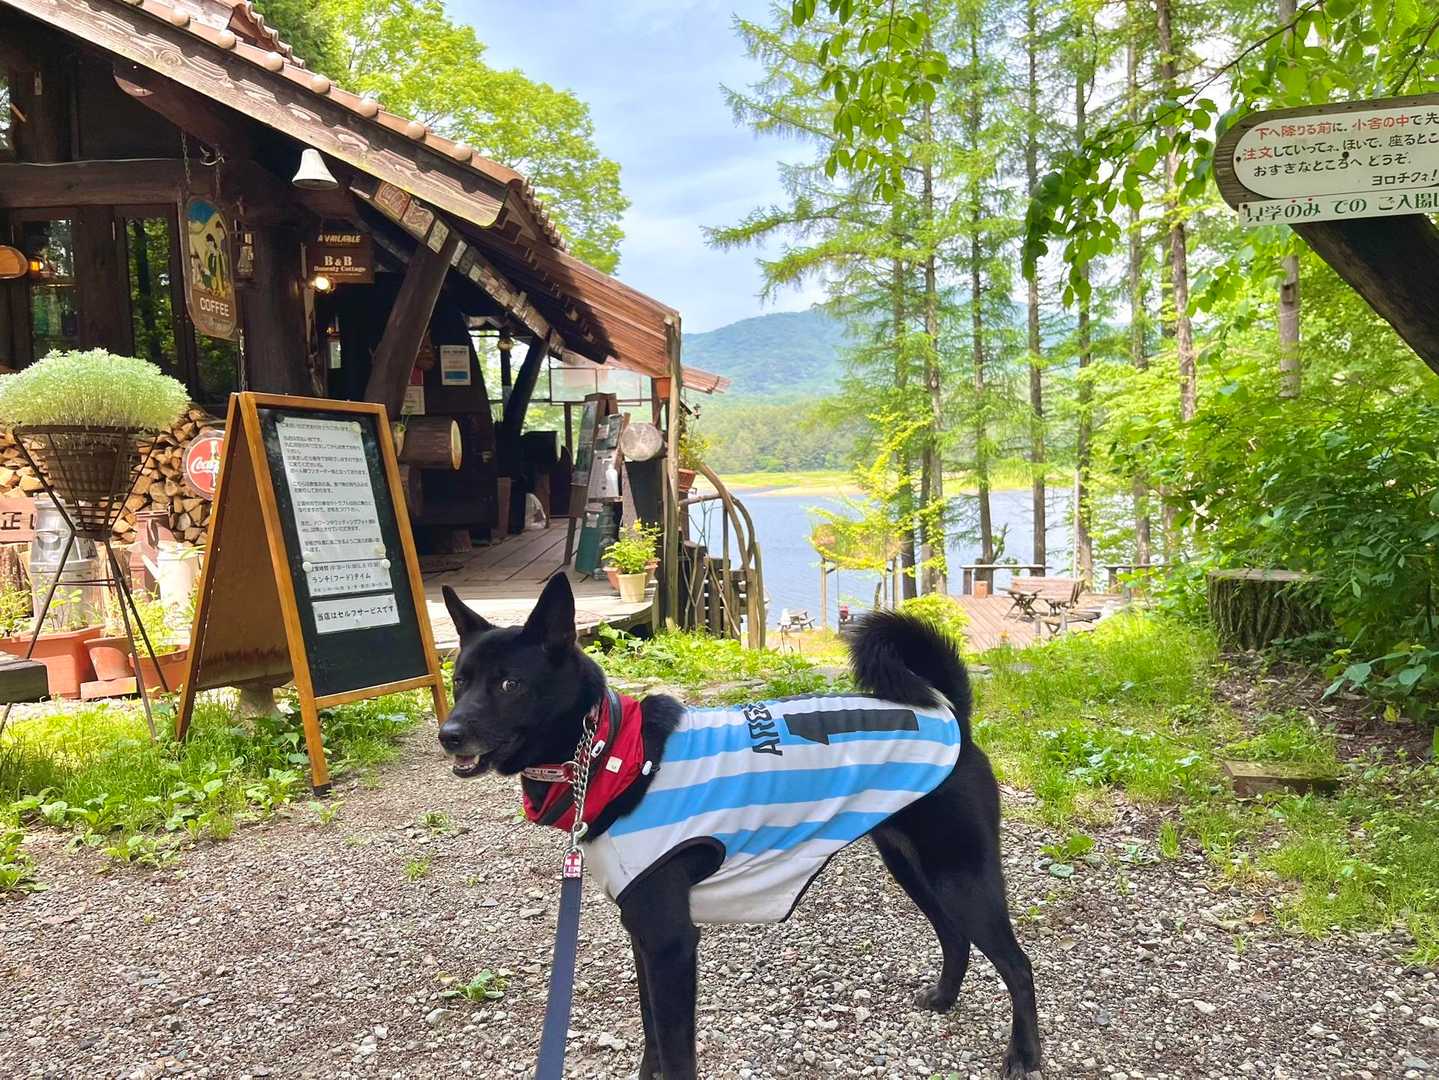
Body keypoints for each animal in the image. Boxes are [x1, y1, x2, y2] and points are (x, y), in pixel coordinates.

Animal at [439, 573, 1043, 1080]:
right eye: (459, 680)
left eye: (510, 684)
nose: (449, 734)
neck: (614, 753)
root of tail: (954, 716)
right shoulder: (643, 934)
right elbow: (652, 1035)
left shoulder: (671, 941)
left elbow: (675, 1049)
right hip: (911, 864)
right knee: (954, 934)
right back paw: (943, 999)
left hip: (962, 875)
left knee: (1018, 965)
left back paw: (1025, 1054)